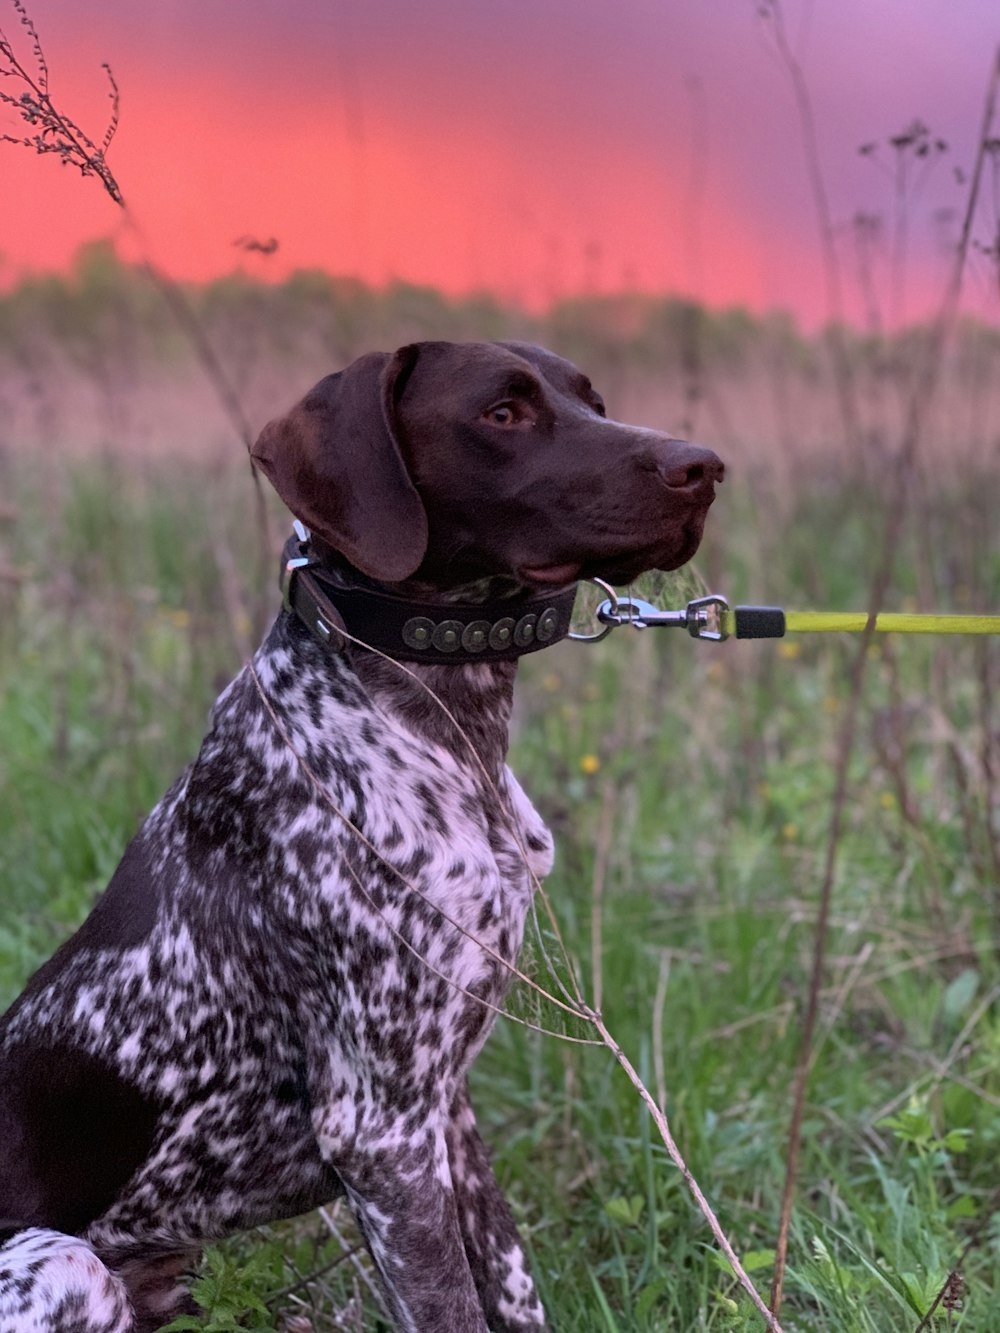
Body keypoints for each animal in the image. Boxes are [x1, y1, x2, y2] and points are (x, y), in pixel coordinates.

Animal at [0, 338, 720, 1327]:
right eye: (502, 412)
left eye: (594, 402)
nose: (705, 468)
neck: (454, 733)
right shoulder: (382, 1129)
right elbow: (452, 1307)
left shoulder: (444, 1112)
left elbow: (510, 1286)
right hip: (67, 1262)